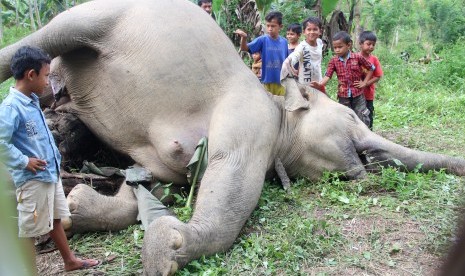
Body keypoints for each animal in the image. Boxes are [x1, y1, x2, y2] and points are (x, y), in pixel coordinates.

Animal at [0, 0, 464, 274]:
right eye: (352, 117)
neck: (277, 103)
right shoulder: (251, 118)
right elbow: (230, 176)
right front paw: (165, 247)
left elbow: (155, 185)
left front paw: (82, 207)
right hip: (99, 14)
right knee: (50, 36)